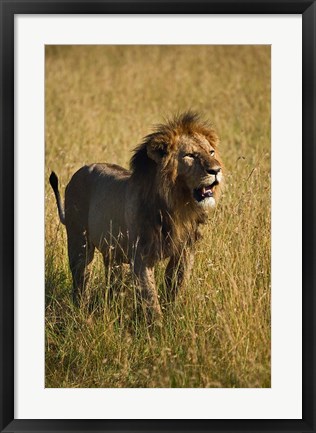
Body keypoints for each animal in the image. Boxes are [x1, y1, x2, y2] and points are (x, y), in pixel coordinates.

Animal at [48, 111, 222, 324]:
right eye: (190, 155)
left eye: (211, 152)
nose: (216, 170)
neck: (177, 206)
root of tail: (79, 172)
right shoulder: (141, 256)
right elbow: (150, 298)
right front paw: (158, 328)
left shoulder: (185, 250)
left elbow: (176, 287)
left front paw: (174, 317)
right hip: (79, 242)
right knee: (81, 280)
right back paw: (81, 313)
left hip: (113, 253)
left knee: (112, 282)